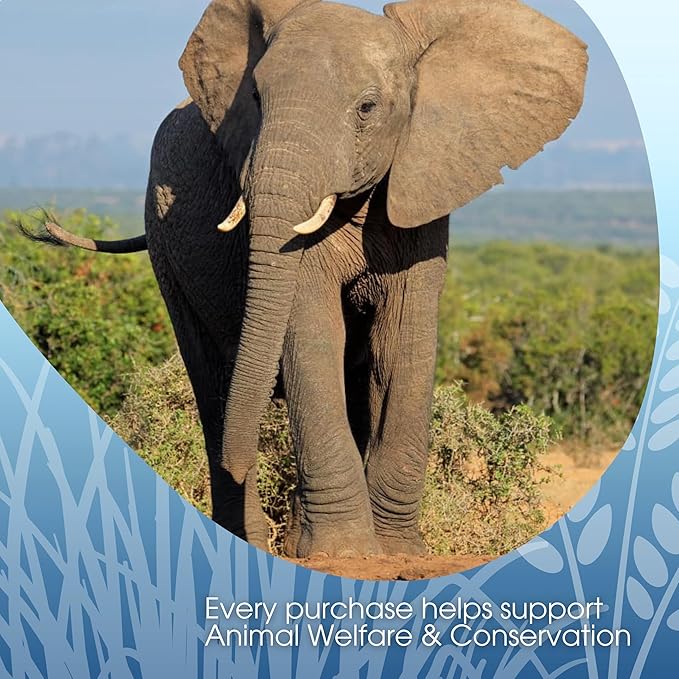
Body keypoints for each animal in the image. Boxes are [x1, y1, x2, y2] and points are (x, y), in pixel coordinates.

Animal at [29, 0, 587, 558]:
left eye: (367, 108)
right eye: (255, 97)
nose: (243, 460)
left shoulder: (423, 189)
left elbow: (401, 341)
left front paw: (396, 553)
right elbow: (313, 332)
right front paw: (346, 553)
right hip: (164, 241)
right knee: (211, 381)